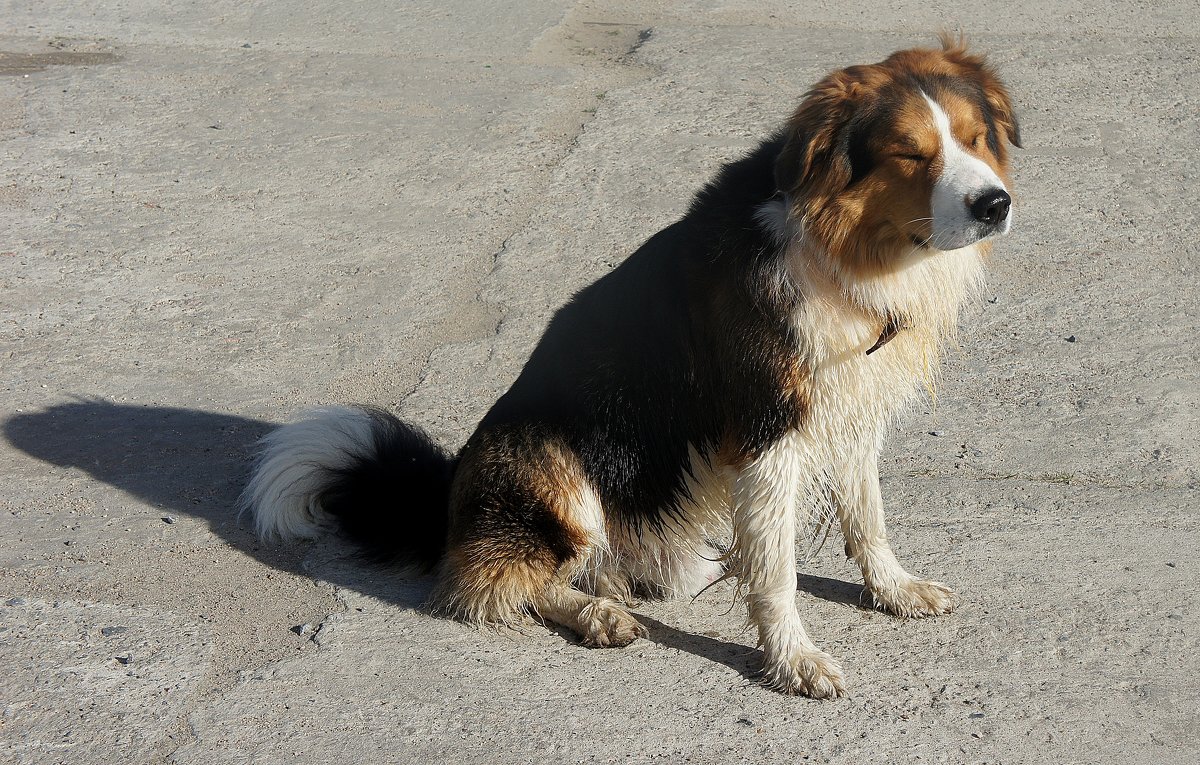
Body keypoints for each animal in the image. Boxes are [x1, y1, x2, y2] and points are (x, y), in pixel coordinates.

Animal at [238, 37, 1017, 700]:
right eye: (910, 154)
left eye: (977, 139)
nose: (996, 204)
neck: (844, 249)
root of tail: (449, 498)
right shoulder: (765, 429)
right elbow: (777, 571)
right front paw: (793, 659)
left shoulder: (849, 405)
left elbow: (867, 515)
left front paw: (893, 589)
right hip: (551, 465)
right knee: (491, 580)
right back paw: (593, 613)